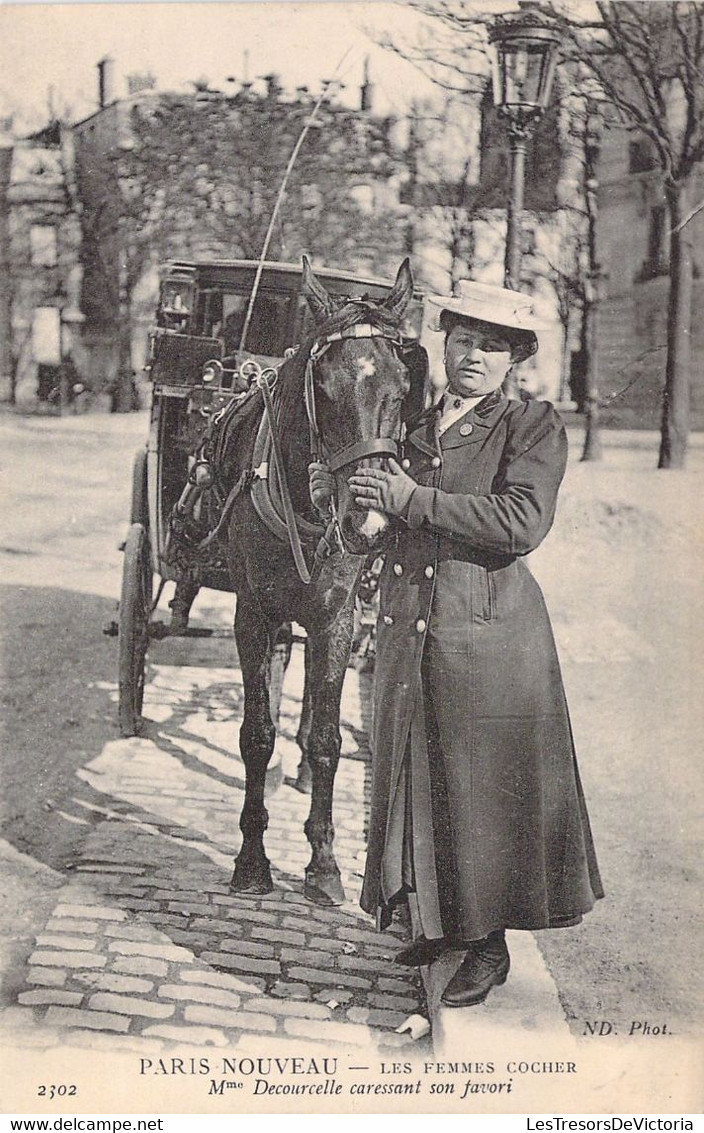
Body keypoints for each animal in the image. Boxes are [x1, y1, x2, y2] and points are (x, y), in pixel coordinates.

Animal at [216, 257, 414, 901]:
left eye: (404, 388)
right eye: (323, 389)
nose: (369, 521)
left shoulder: (336, 619)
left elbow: (327, 739)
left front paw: (323, 863)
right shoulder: (253, 615)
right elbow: (256, 733)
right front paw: (252, 859)